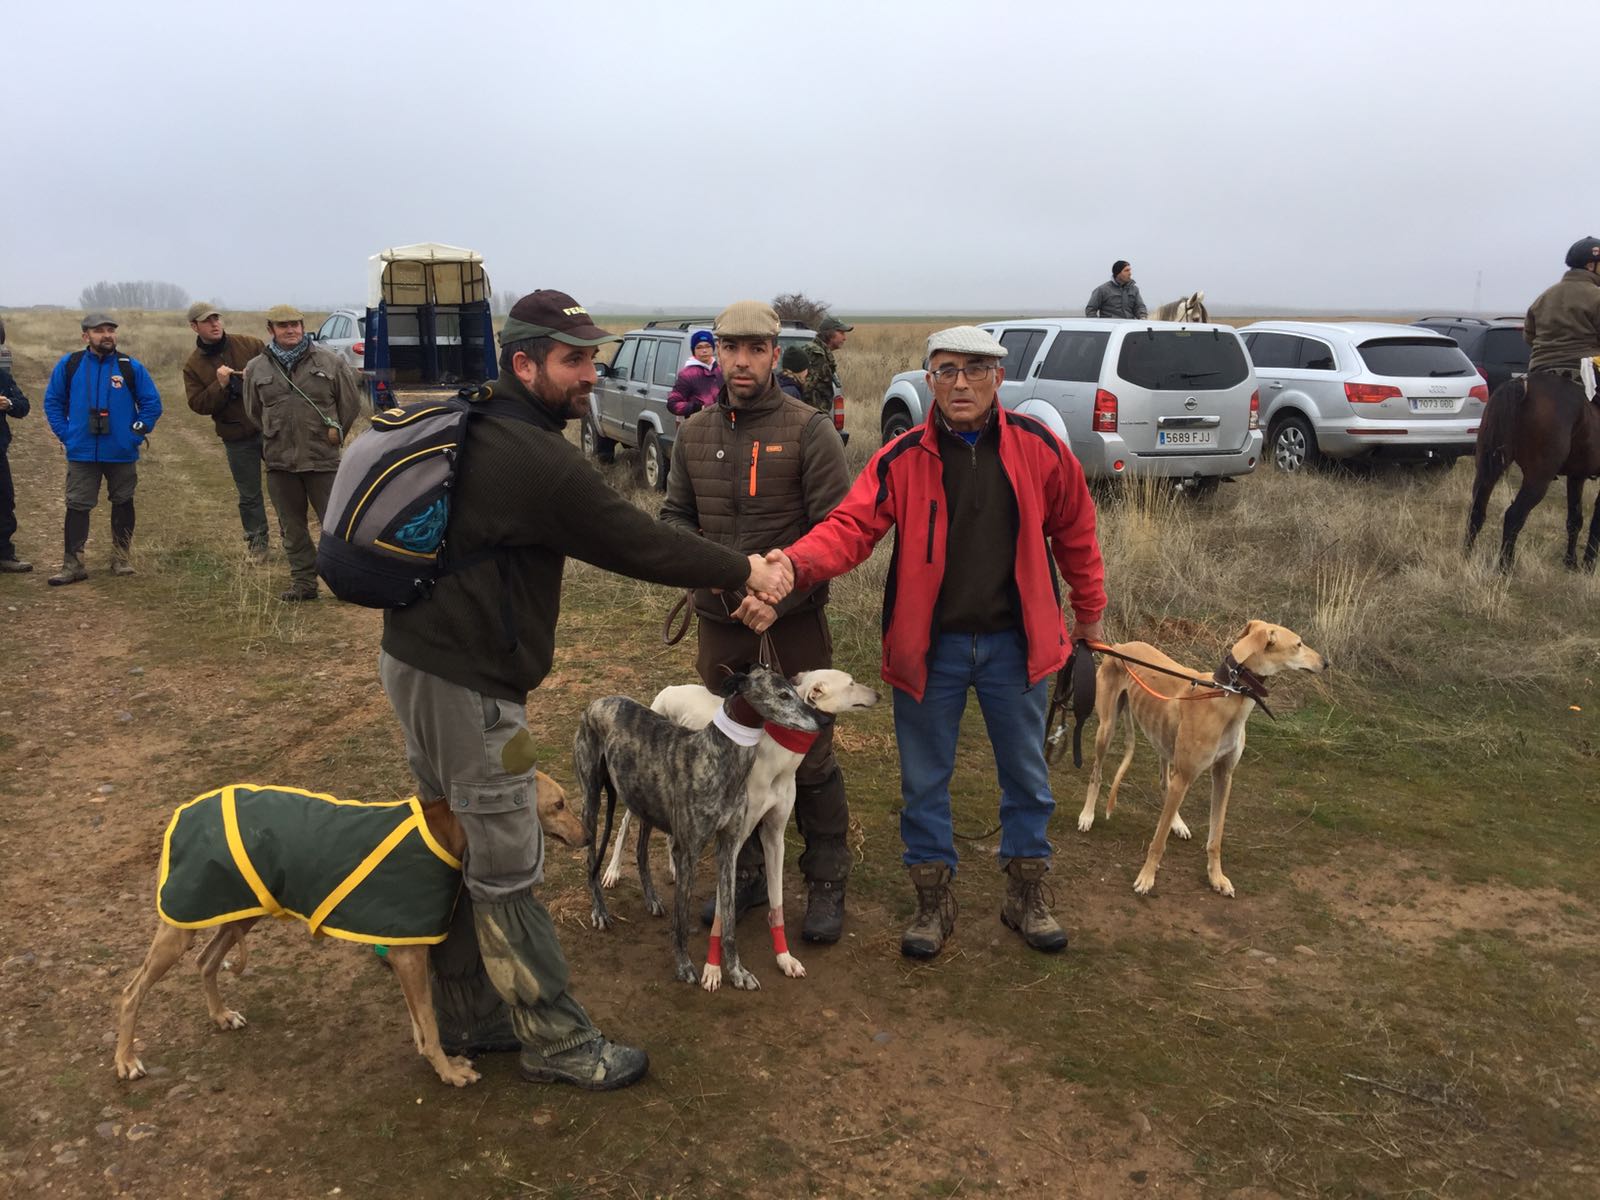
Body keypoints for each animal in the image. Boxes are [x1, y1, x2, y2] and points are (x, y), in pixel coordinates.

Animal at [1465, 374, 1600, 576]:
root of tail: (1522, 384)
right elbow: (1596, 523)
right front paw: (1589, 566)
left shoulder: (1576, 476)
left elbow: (1575, 519)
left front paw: (1571, 562)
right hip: (1538, 479)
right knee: (1513, 516)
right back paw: (1505, 566)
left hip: (1487, 470)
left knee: (1477, 510)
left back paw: (1466, 555)